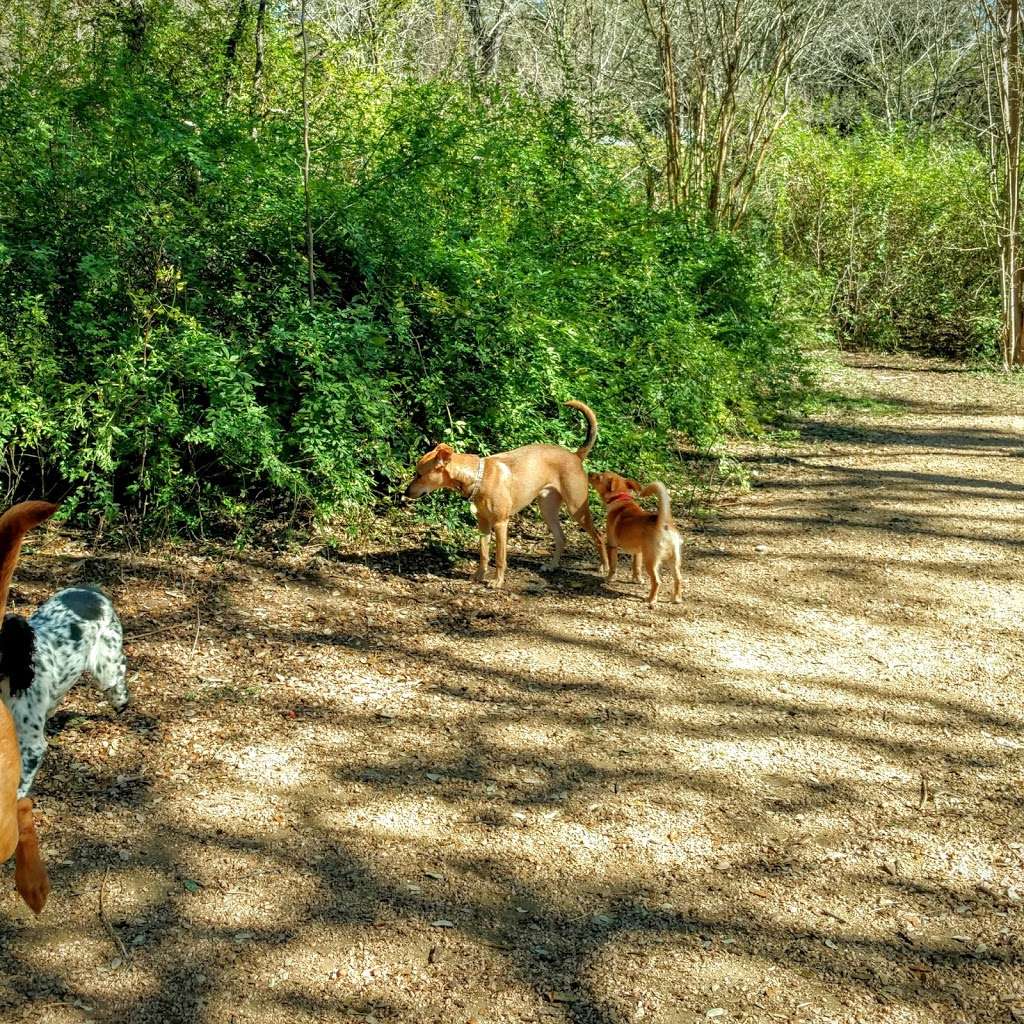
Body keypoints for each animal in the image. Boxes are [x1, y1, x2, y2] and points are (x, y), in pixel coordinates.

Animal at [401, 403, 606, 589]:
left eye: (419, 474)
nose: (405, 493)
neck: (479, 477)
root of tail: (575, 456)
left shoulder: (500, 524)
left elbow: (500, 557)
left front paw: (497, 581)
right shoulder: (483, 524)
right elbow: (484, 554)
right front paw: (479, 575)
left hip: (577, 509)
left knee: (599, 536)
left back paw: (604, 567)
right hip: (547, 511)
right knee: (562, 538)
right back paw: (552, 565)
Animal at [585, 471, 679, 606]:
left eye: (599, 477)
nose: (589, 473)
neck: (621, 499)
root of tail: (663, 523)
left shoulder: (612, 546)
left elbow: (613, 567)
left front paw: (609, 579)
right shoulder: (637, 552)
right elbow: (636, 568)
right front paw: (637, 580)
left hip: (651, 561)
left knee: (657, 581)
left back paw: (651, 599)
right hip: (674, 561)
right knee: (678, 579)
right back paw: (676, 598)